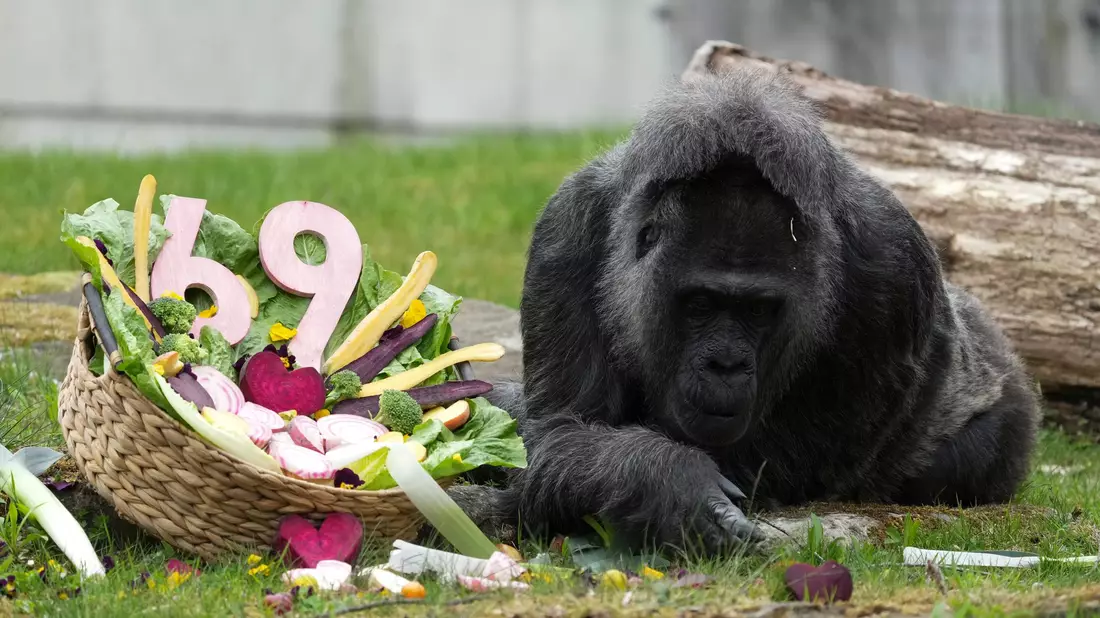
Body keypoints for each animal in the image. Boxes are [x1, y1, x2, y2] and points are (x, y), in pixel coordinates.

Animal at [447, 66, 1042, 555]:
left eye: (758, 311)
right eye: (701, 305)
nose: (726, 365)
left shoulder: (894, 264)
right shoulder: (567, 227)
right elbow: (562, 433)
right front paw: (662, 482)